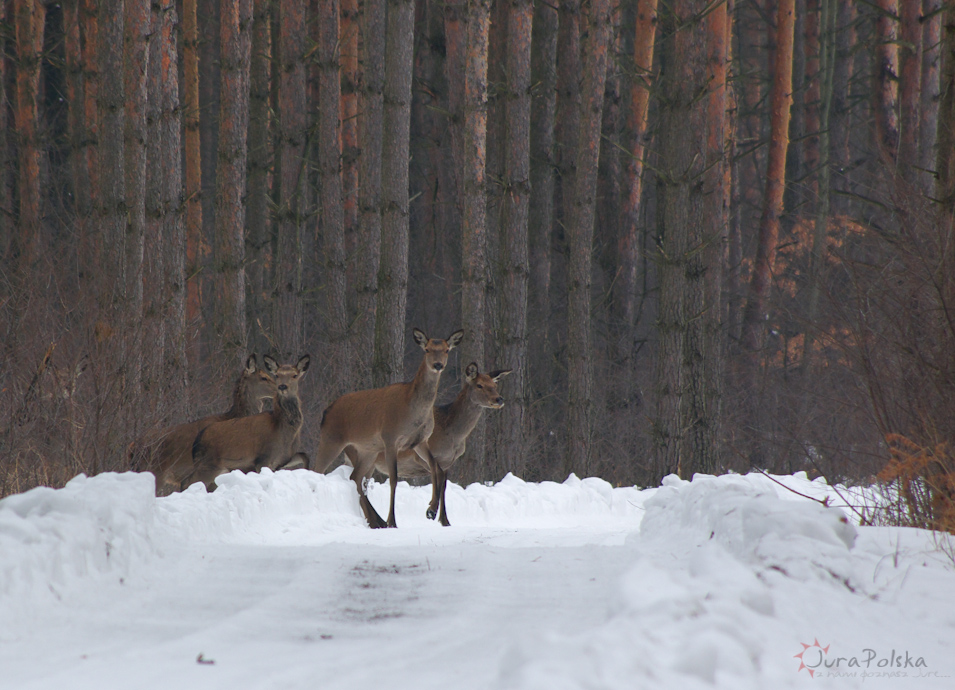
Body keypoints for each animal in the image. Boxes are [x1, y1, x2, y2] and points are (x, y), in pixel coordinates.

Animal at [189, 354, 316, 490]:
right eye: (277, 375)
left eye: (295, 375)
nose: (282, 386)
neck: (282, 427)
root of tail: (198, 439)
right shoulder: (263, 458)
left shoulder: (282, 460)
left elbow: (305, 455)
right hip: (208, 464)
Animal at [314, 328, 464, 528]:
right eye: (427, 349)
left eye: (447, 350)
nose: (438, 365)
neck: (412, 411)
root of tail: (326, 411)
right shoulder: (391, 438)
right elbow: (393, 479)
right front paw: (392, 520)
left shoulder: (420, 440)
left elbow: (436, 467)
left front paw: (431, 510)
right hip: (330, 438)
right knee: (317, 470)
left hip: (367, 450)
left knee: (355, 477)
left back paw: (375, 520)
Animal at [362, 362, 512, 524]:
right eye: (479, 385)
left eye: (494, 385)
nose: (499, 399)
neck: (452, 436)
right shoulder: (420, 456)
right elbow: (437, 476)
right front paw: (431, 509)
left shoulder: (448, 462)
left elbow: (444, 485)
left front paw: (445, 520)